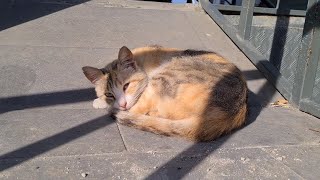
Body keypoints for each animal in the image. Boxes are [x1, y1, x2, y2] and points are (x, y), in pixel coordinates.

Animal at [82, 45, 248, 141]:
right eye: (109, 94)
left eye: (126, 86)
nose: (122, 104)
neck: (141, 62)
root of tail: (234, 110)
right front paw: (101, 101)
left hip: (163, 77)